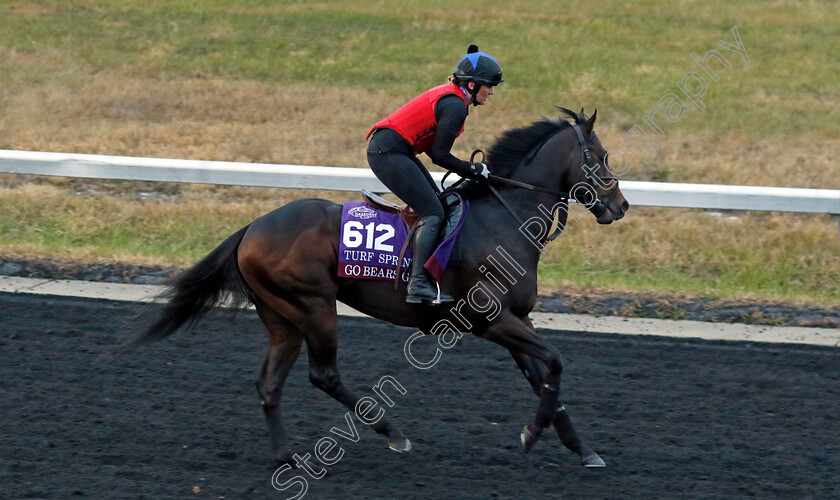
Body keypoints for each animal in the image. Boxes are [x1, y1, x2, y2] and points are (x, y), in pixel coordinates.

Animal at [118, 106, 632, 468]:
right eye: (601, 156)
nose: (620, 205)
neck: (505, 219)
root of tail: (252, 228)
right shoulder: (492, 321)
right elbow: (555, 362)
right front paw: (531, 435)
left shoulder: (517, 320)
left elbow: (545, 377)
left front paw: (581, 449)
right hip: (314, 306)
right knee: (323, 375)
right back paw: (392, 433)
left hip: (281, 317)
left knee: (269, 383)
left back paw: (286, 455)